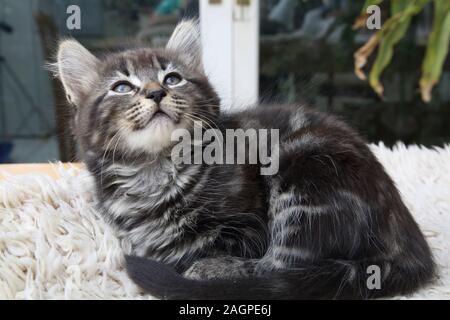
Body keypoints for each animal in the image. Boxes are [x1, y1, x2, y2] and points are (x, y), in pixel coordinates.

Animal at [53, 20, 436, 300]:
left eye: (173, 79)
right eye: (121, 87)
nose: (156, 92)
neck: (155, 170)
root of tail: (409, 237)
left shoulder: (249, 227)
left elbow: (201, 248)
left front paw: (194, 263)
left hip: (305, 175)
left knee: (281, 273)